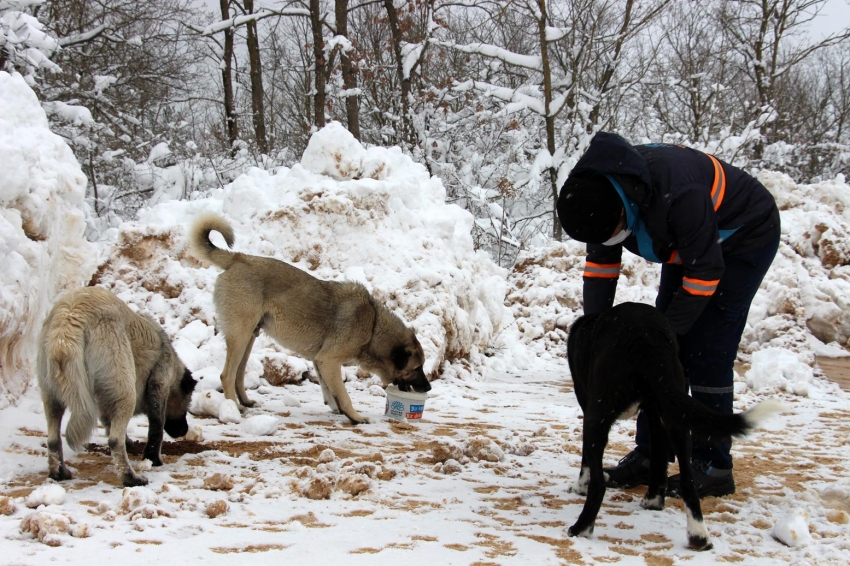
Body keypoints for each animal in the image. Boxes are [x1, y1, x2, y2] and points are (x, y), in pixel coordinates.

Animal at [37, 288, 196, 488]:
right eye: (186, 403)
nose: (184, 431)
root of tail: (69, 319)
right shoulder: (159, 382)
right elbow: (156, 427)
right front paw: (153, 459)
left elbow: (108, 421)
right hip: (125, 392)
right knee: (114, 441)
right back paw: (131, 478)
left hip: (51, 395)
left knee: (52, 439)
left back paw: (58, 473)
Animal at [184, 214, 424, 426]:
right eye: (416, 368)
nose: (428, 388)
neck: (373, 325)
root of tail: (238, 257)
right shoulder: (329, 360)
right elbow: (344, 394)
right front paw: (354, 416)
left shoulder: (321, 361)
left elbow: (329, 389)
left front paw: (336, 407)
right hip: (240, 334)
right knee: (227, 375)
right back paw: (235, 408)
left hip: (249, 336)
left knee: (238, 374)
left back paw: (245, 402)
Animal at [568, 304, 780, 552]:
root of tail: (645, 336)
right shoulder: (655, 416)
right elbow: (659, 459)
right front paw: (654, 500)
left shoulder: (588, 405)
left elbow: (587, 461)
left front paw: (580, 486)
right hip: (676, 414)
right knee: (688, 480)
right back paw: (698, 535)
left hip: (598, 415)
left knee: (599, 484)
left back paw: (581, 528)